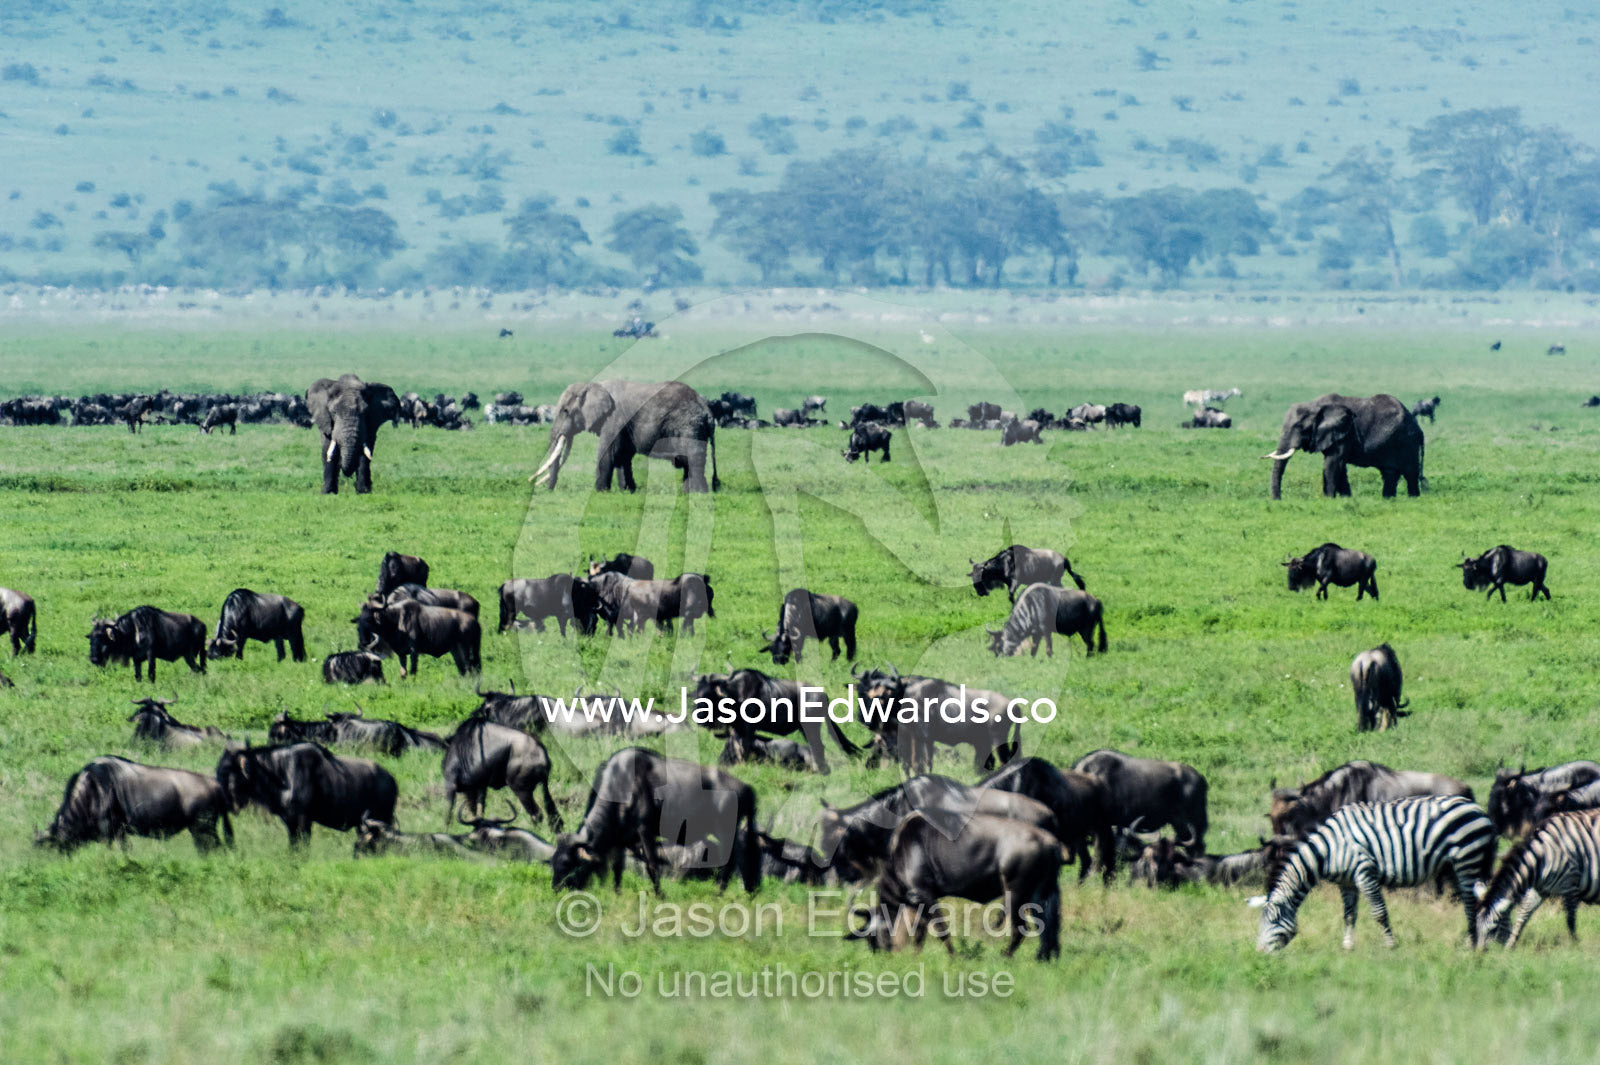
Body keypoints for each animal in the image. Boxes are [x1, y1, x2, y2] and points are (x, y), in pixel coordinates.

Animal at [530, 380, 719, 493]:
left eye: (565, 411)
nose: (549, 490)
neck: (594, 385)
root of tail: (707, 410)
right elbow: (623, 455)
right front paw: (627, 491)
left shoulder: (614, 418)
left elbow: (607, 453)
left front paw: (599, 492)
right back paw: (687, 492)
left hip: (689, 425)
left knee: (693, 459)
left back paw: (698, 493)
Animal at [1256, 795, 1496, 952]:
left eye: (1273, 921)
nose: (1259, 953)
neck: (1328, 850)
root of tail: (1480, 810)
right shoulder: (1347, 882)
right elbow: (1349, 914)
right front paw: (1347, 946)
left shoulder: (1364, 871)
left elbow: (1379, 912)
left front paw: (1391, 945)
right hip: (1463, 864)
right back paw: (1481, 940)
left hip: (1467, 859)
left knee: (1471, 903)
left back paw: (1471, 944)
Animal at [1266, 394, 1424, 500]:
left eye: (1300, 427)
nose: (1278, 500)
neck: (1314, 405)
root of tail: (1418, 427)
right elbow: (1338, 466)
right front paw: (1345, 499)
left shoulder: (1344, 432)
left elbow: (1332, 463)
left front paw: (1328, 499)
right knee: (1390, 473)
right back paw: (1388, 499)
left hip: (1407, 441)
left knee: (1410, 473)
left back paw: (1413, 499)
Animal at [1474, 808, 1600, 949]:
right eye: (1477, 928)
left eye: (1493, 929)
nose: (1479, 954)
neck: (1542, 857)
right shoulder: (1539, 890)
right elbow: (1522, 916)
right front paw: (1509, 946)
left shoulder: (1570, 885)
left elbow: (1570, 920)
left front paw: (1574, 945)